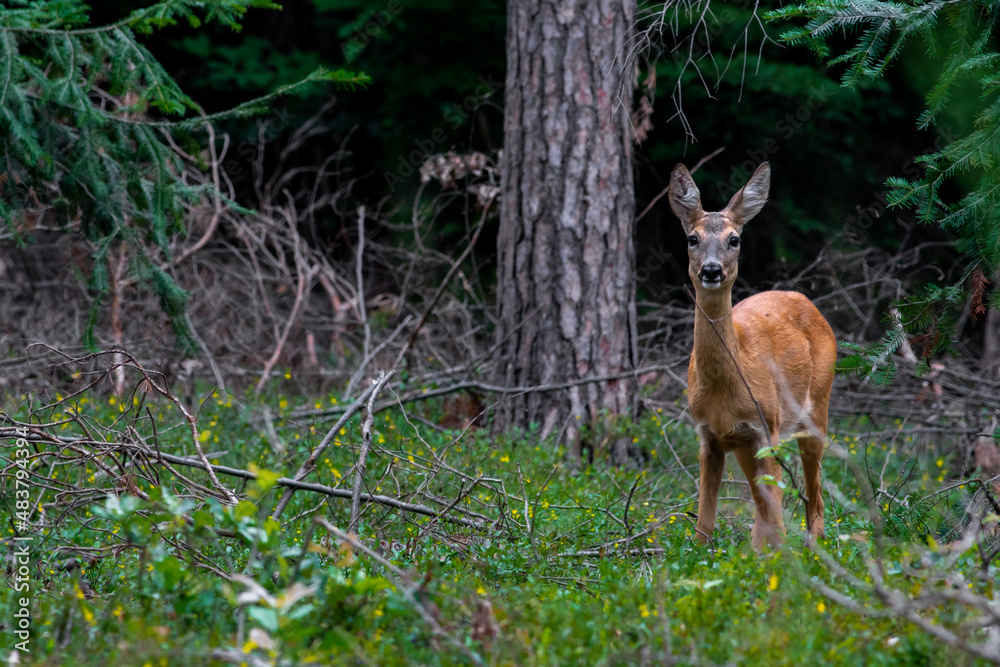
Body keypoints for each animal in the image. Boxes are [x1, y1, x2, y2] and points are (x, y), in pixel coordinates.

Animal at [667, 161, 837, 551]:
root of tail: (803, 299)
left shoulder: (765, 426)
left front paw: (776, 558)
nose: (711, 270)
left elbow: (773, 508)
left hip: (815, 408)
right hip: (747, 443)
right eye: (692, 238)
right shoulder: (708, 435)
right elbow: (705, 521)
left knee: (814, 491)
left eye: (734, 239)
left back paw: (814, 546)